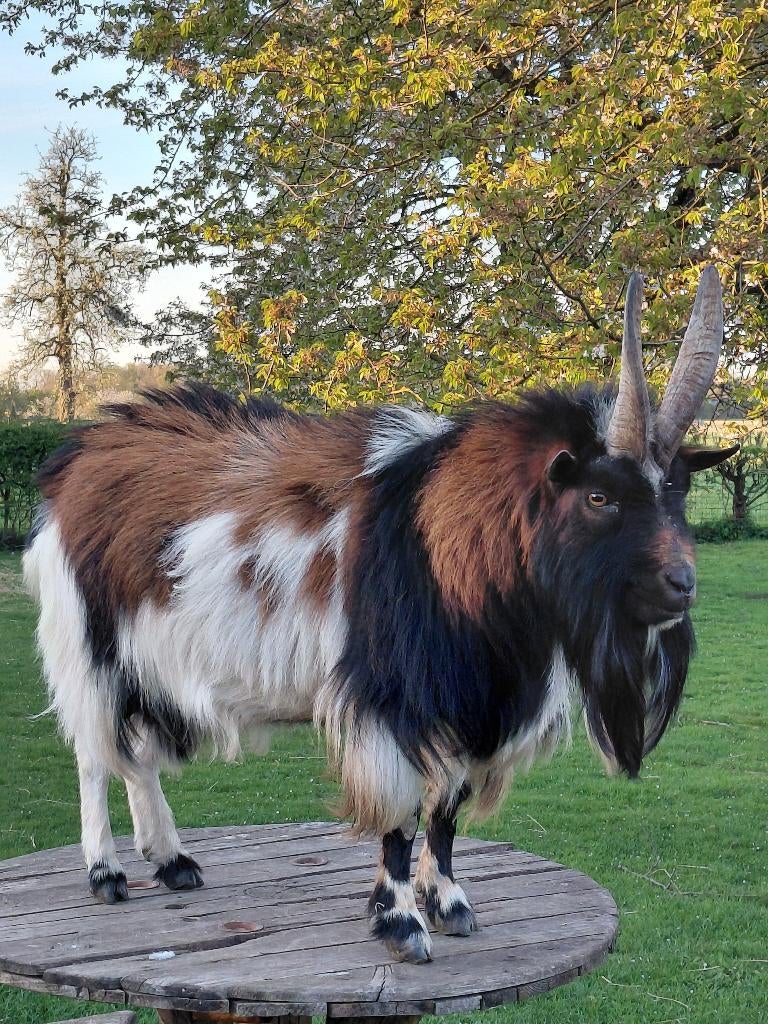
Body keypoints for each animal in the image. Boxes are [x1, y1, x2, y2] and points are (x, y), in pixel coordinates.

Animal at [24, 268, 737, 963]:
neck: (435, 533)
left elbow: (447, 808)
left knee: (135, 752)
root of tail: (73, 462)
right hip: (85, 644)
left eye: (678, 490)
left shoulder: (469, 701)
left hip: (144, 660)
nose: (682, 586)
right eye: (599, 496)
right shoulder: (391, 700)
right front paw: (399, 922)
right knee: (92, 753)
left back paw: (172, 860)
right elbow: (400, 816)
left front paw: (448, 902)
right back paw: (107, 872)